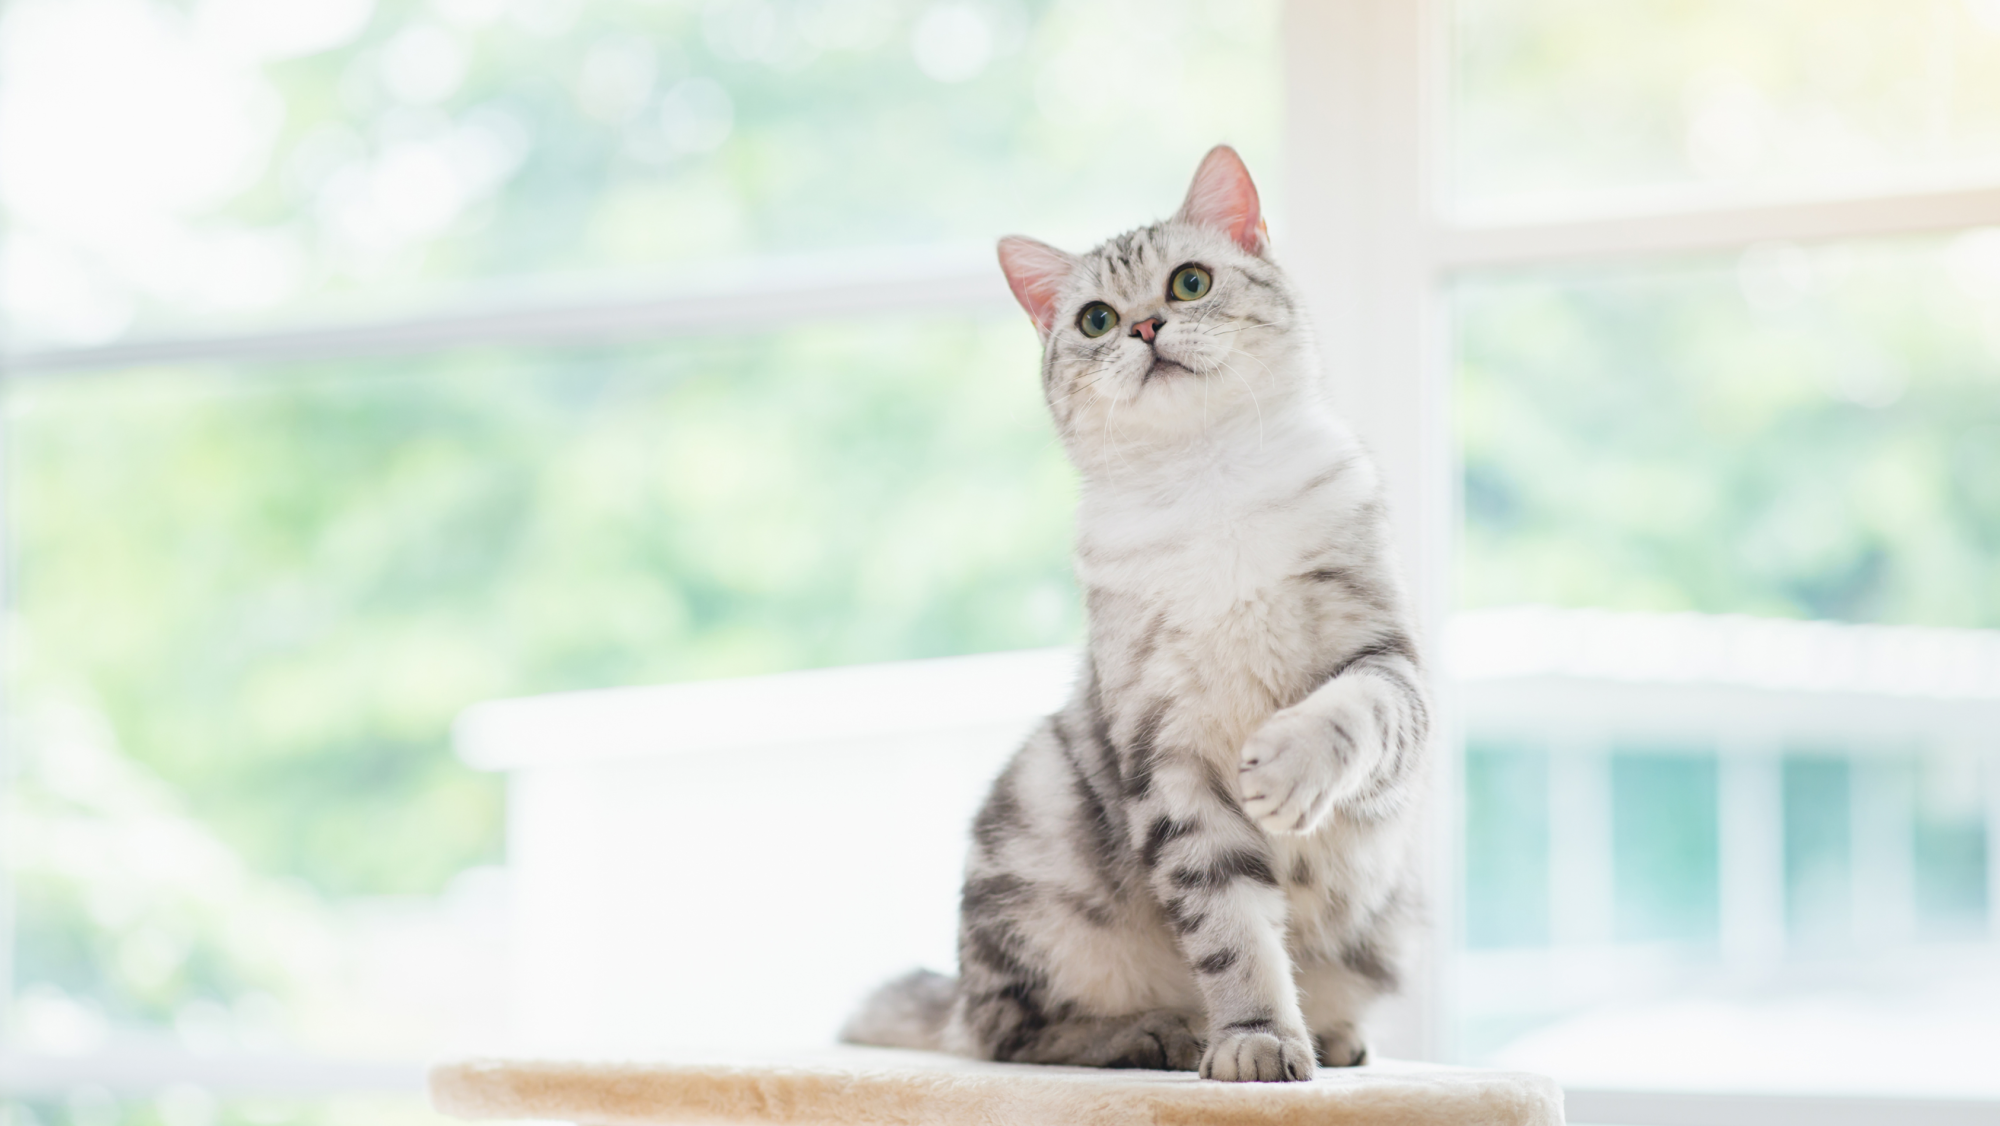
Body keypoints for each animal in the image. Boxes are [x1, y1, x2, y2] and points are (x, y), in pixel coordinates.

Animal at [836, 143, 1432, 1080]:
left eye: (1189, 283)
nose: (1145, 329)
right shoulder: (1166, 752)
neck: (1210, 484)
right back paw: (1157, 1032)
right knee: (1006, 1035)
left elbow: (1347, 715)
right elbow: (1230, 928)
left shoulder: (1383, 657)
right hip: (1036, 830)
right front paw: (1254, 1041)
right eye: (1095, 319)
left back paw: (1334, 1039)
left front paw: (1287, 767)